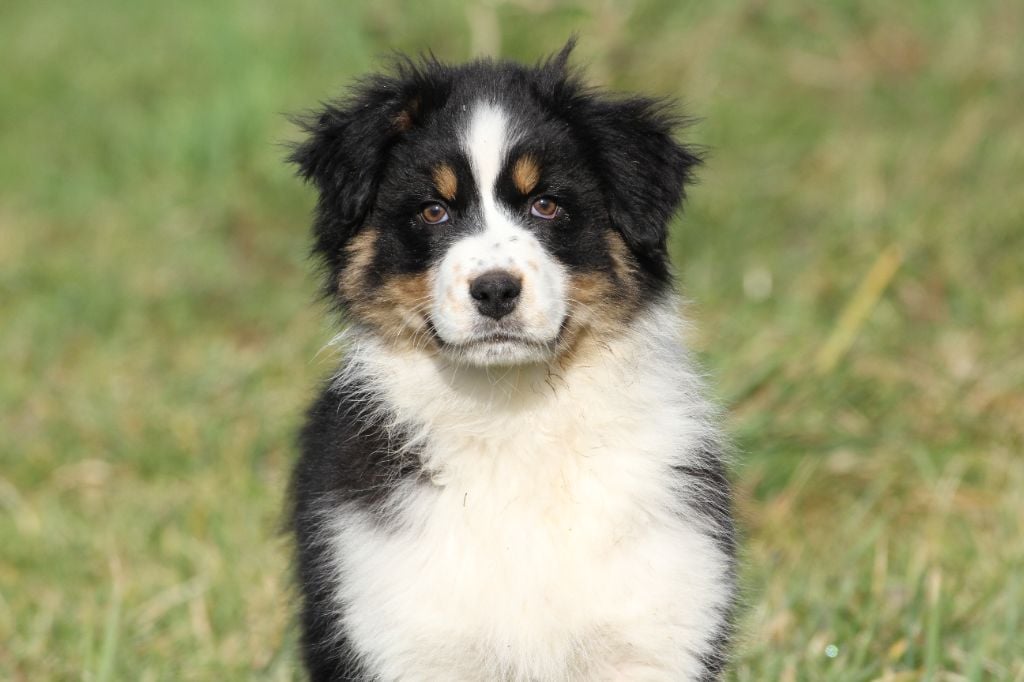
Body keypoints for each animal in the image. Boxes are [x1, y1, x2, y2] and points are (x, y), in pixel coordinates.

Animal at [288, 42, 737, 679]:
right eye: (433, 211)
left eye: (547, 205)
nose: (495, 290)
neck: (513, 412)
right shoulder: (404, 632)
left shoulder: (655, 625)